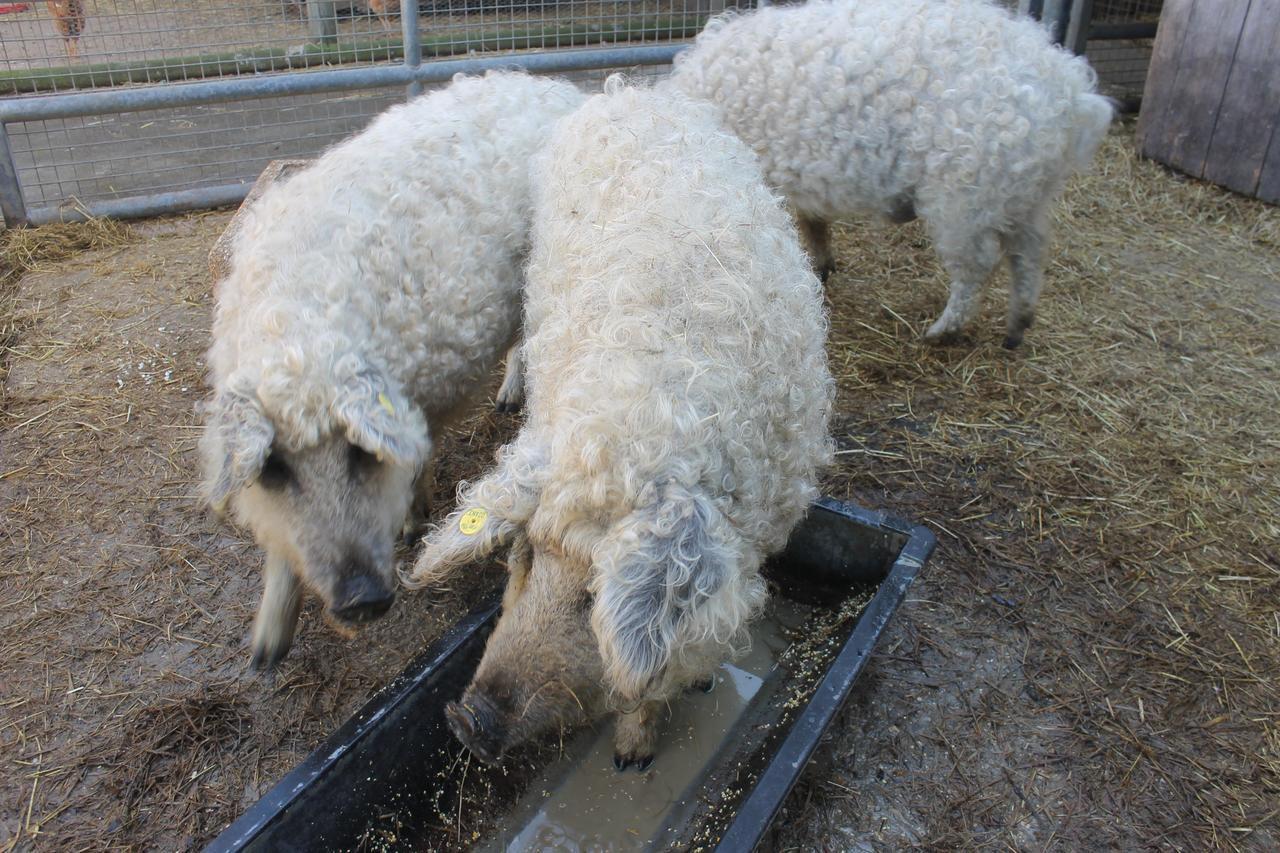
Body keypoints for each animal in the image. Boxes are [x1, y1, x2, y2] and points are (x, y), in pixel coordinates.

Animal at [199, 71, 586, 671]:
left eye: (361, 452)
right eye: (275, 469)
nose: (360, 600)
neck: (299, 335)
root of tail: (551, 85)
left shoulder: (428, 387)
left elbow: (419, 455)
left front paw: (411, 526)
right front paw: (264, 653)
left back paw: (509, 399)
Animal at [404, 79, 834, 768]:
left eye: (594, 598)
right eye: (524, 554)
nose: (467, 719)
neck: (640, 415)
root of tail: (631, 92)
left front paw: (633, 754)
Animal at [665, 0, 1116, 348]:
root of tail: (1072, 92)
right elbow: (813, 221)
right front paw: (822, 266)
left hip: (964, 194)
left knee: (978, 264)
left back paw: (941, 332)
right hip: (1025, 192)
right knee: (1030, 252)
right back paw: (1016, 329)